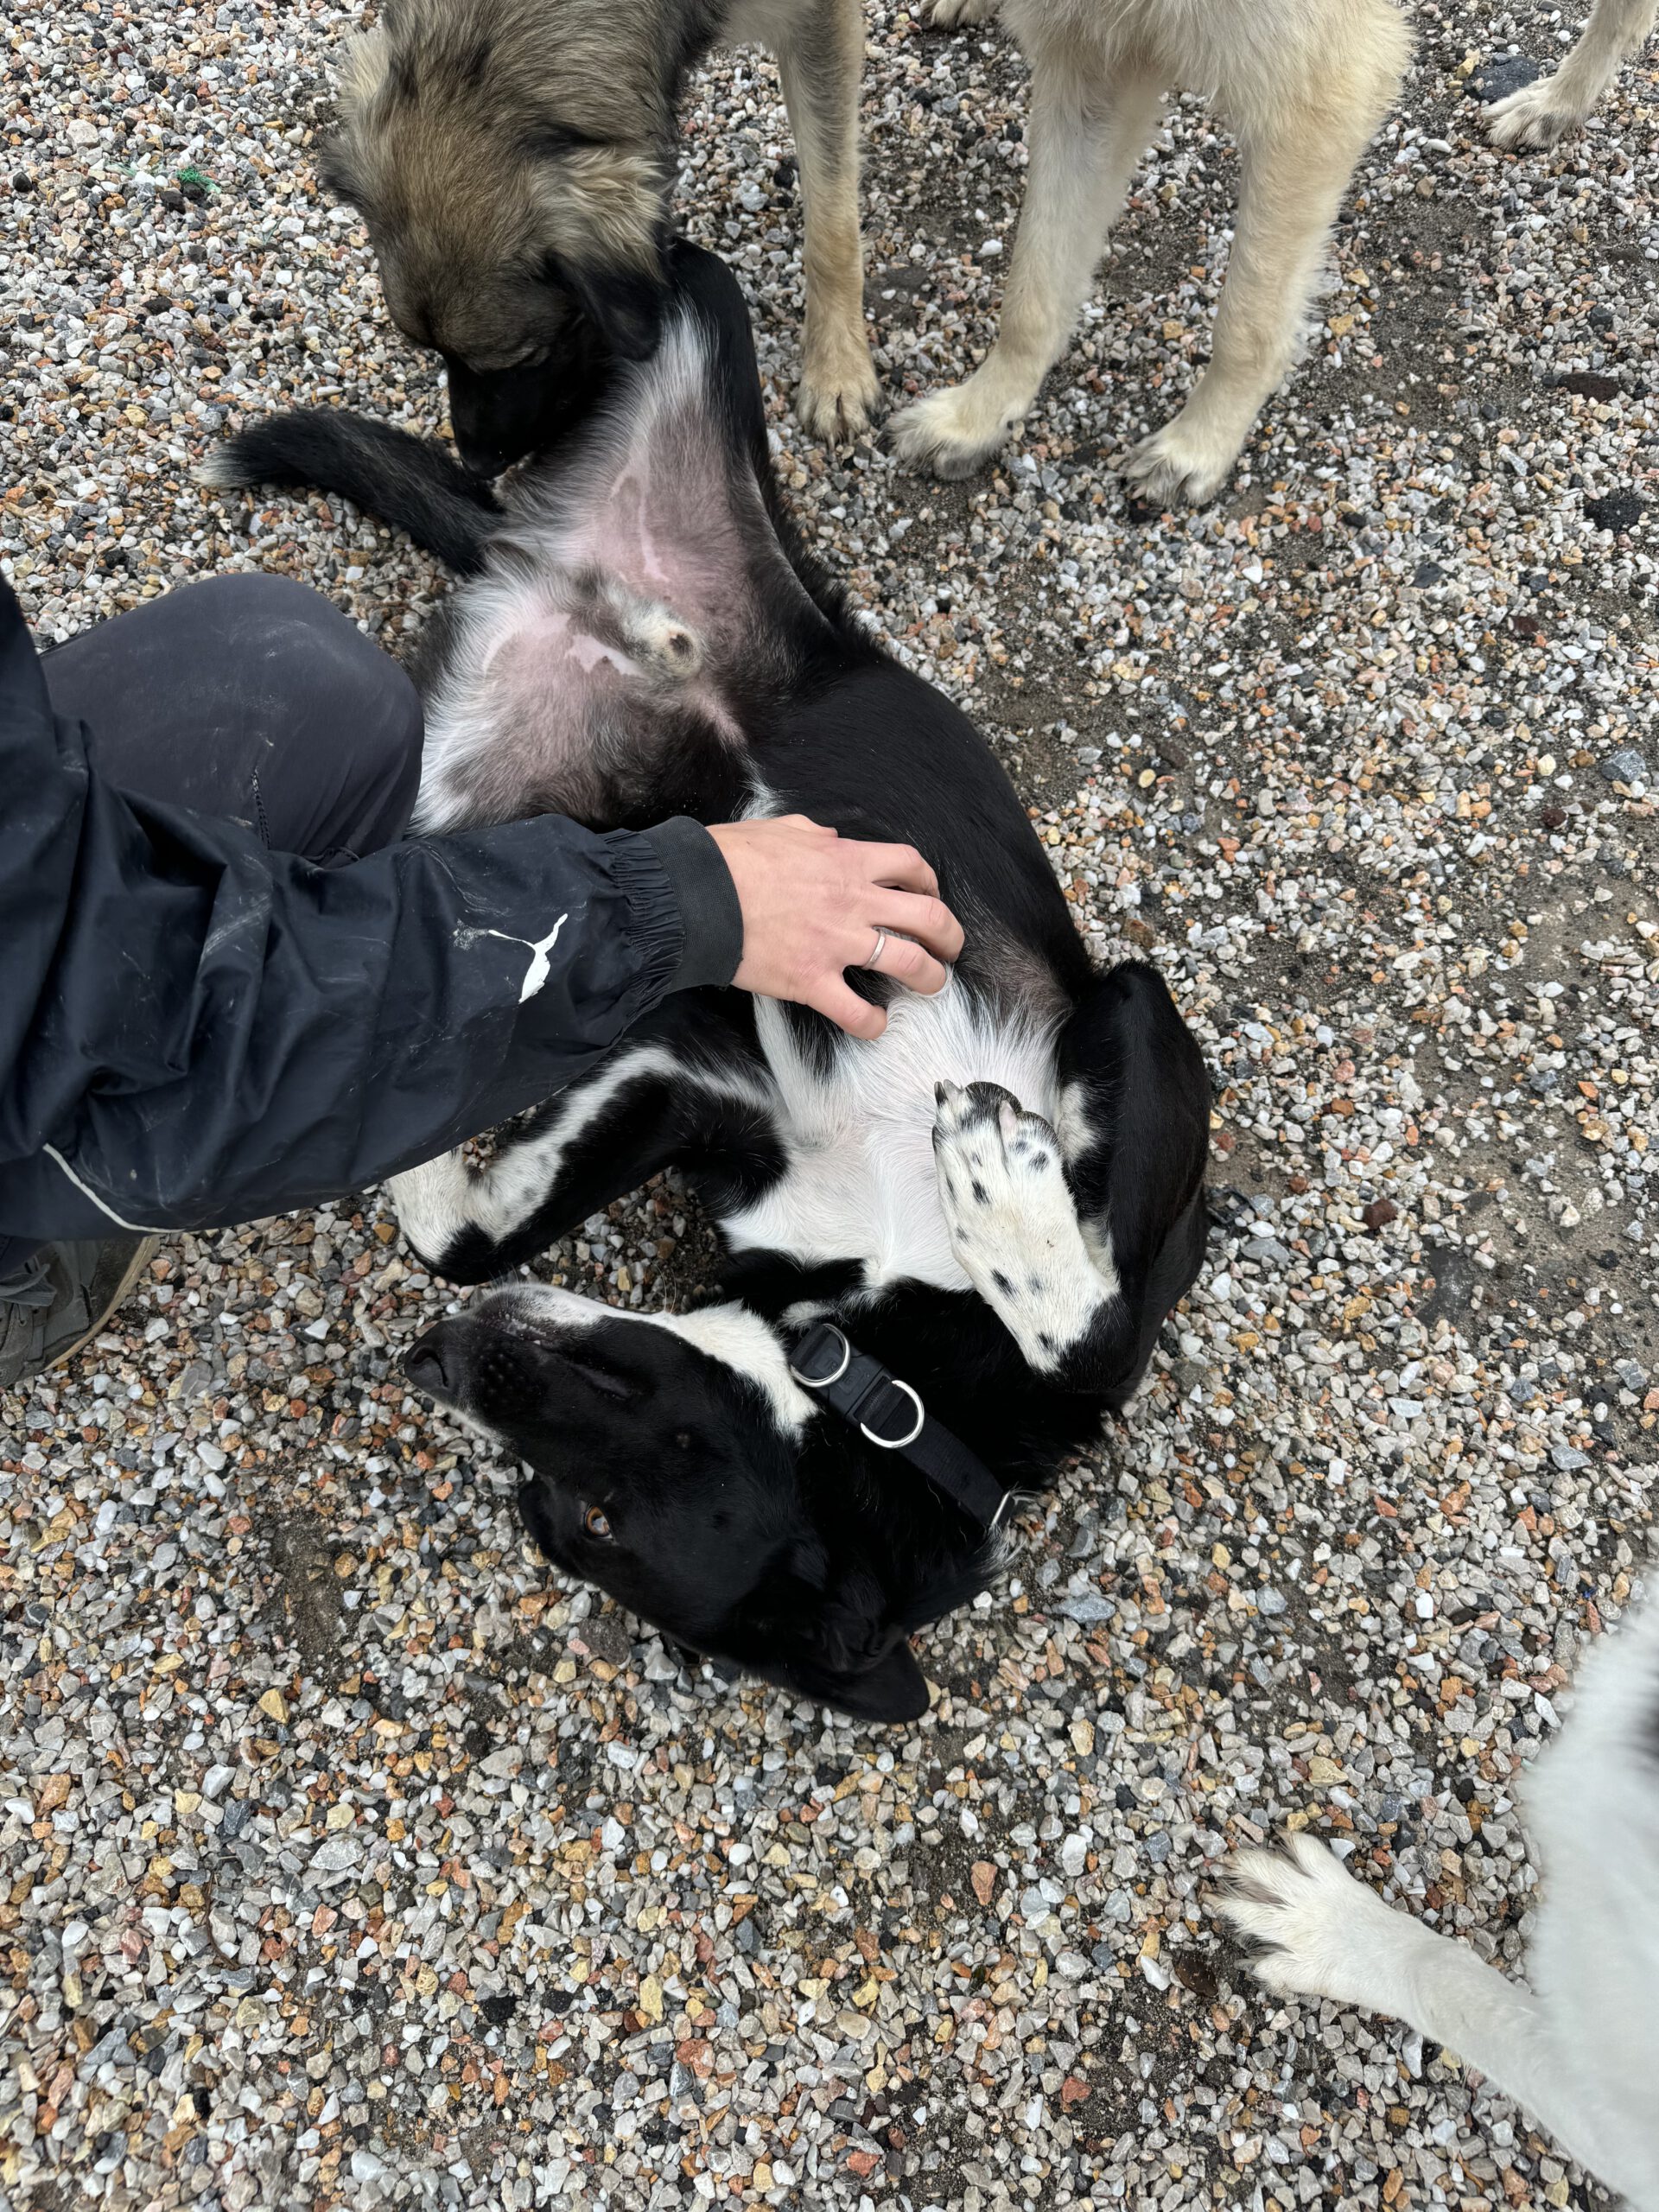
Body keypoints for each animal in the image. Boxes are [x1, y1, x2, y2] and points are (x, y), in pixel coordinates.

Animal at [202, 242, 1211, 1722]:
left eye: (587, 1519)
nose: (437, 1362)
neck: (888, 1365)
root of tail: (536, 562)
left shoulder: (720, 1077)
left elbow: (1092, 1326)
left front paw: (1005, 1190)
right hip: (697, 341)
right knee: (630, 277)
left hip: (452, 794)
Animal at [318, 0, 877, 476]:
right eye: (433, 352)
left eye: (529, 357)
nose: (475, 466)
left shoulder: (818, 25)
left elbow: (831, 224)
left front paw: (838, 371)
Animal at [889, 0, 1414, 503]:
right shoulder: (1091, 71)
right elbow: (1032, 292)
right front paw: (978, 415)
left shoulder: (1314, 93)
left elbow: (1246, 324)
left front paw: (1199, 445)